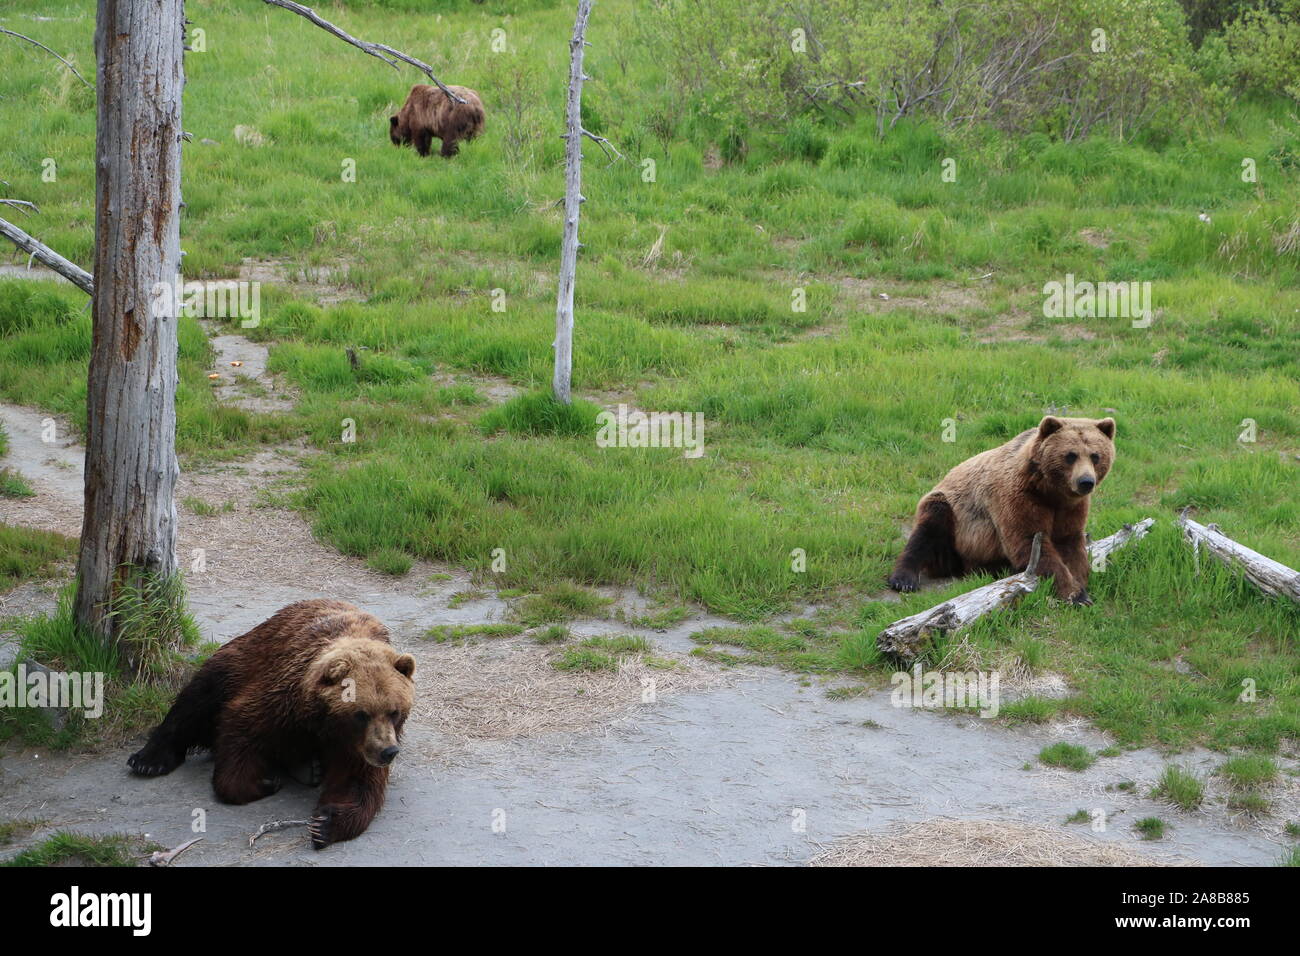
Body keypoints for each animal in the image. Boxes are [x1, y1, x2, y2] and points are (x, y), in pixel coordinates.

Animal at [127, 598, 416, 853]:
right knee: (197, 699)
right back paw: (149, 760)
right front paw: (265, 781)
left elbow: (356, 780)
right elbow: (242, 730)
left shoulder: (355, 745)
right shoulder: (282, 696)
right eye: (361, 714)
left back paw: (308, 769)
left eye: (394, 711)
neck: (324, 722)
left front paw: (325, 824)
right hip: (238, 660)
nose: (388, 752)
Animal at [889, 416, 1112, 600]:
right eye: (1071, 455)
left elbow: (1069, 543)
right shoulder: (1018, 497)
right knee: (928, 529)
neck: (1049, 490)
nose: (1086, 482)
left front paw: (1081, 584)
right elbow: (1030, 541)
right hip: (952, 515)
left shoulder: (1071, 507)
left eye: (1095, 456)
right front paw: (1076, 595)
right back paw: (903, 579)